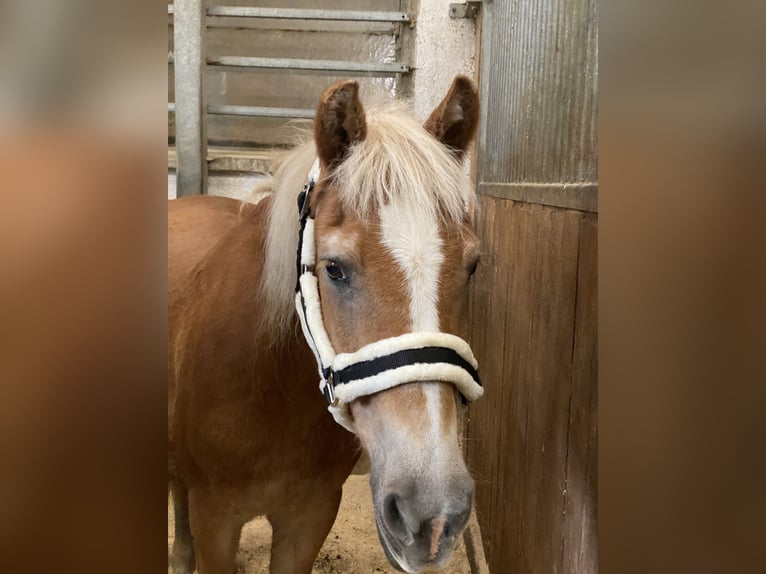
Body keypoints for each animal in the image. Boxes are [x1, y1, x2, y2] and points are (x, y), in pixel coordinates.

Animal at [169, 76, 484, 574]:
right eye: (334, 268)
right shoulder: (214, 518)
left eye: (472, 265)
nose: (433, 514)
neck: (270, 396)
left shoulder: (309, 518)